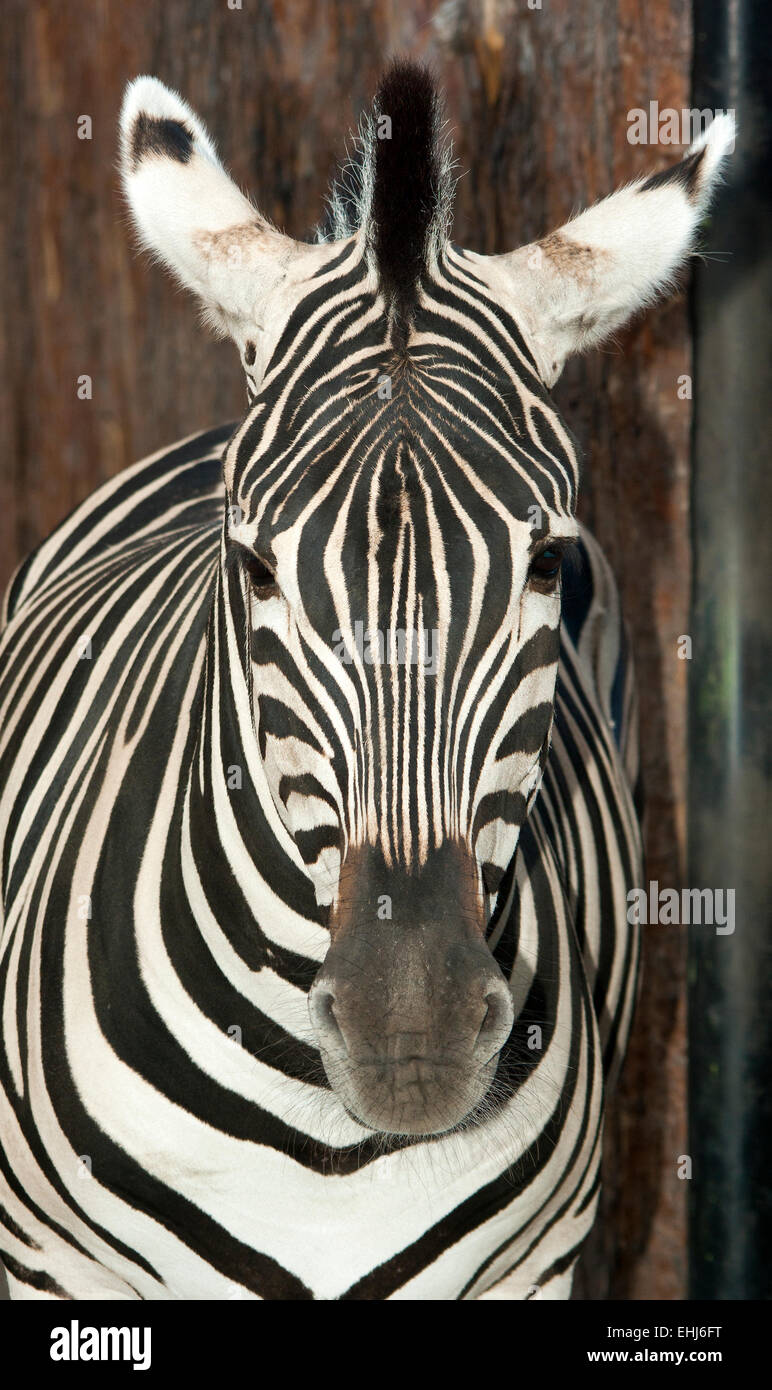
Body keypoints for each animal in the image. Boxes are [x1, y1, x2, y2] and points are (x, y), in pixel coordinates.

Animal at [0, 62, 732, 1300]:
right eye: (253, 567)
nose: (410, 1032)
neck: (325, 1148)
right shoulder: (55, 1267)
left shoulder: (529, 1270)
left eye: (544, 561)